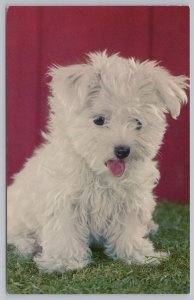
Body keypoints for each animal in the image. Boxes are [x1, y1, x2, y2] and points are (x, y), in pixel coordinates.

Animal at [7, 51, 188, 272]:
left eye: (138, 123)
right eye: (99, 120)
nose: (122, 150)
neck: (101, 173)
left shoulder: (130, 201)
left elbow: (129, 230)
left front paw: (138, 255)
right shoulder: (64, 200)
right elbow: (64, 231)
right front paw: (64, 262)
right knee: (16, 235)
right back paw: (28, 245)